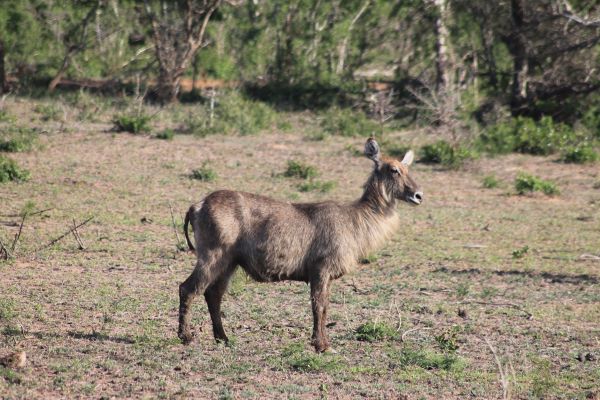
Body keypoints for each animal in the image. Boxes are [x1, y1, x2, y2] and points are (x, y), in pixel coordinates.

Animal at [178, 139, 422, 352]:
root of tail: (196, 205)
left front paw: (323, 343)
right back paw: (186, 337)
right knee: (188, 288)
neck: (356, 220)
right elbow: (319, 306)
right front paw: (322, 346)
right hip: (212, 256)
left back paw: (223, 338)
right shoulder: (320, 269)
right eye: (393, 169)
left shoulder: (325, 275)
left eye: (407, 167)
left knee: (213, 294)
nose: (418, 195)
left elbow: (324, 308)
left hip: (229, 263)